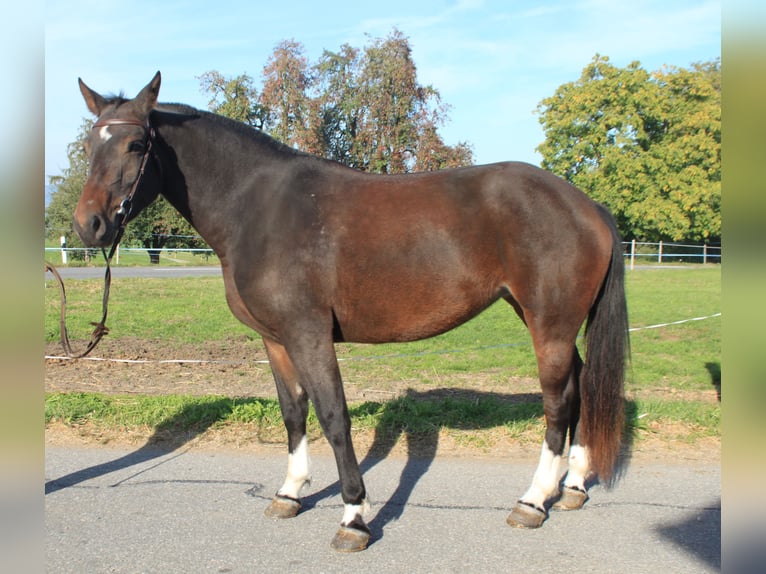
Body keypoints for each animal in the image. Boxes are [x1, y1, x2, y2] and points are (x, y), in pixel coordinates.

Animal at [72, 72, 629, 552]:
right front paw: (290, 492)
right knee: (582, 387)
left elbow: (334, 417)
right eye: (89, 146)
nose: (88, 225)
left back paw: (533, 500)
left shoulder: (309, 334)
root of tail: (588, 206)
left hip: (549, 326)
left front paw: (354, 517)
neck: (258, 208)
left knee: (559, 403)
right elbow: (293, 413)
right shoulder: (276, 340)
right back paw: (573, 486)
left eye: (136, 145)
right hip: (545, 320)